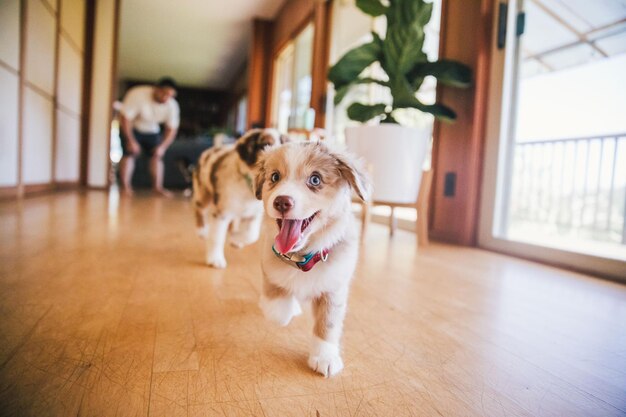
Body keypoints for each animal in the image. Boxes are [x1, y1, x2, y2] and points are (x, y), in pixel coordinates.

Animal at [191, 128, 282, 268]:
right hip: (203, 192)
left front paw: (236, 239)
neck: (248, 188)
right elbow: (217, 237)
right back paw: (202, 230)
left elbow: (252, 235)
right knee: (199, 209)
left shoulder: (254, 214)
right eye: (266, 144)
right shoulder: (221, 212)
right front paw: (215, 258)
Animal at [254, 141, 370, 376]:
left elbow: (328, 325)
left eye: (315, 179)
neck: (303, 257)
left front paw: (325, 357)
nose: (282, 202)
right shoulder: (268, 266)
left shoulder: (334, 288)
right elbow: (277, 310)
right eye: (274, 177)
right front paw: (284, 308)